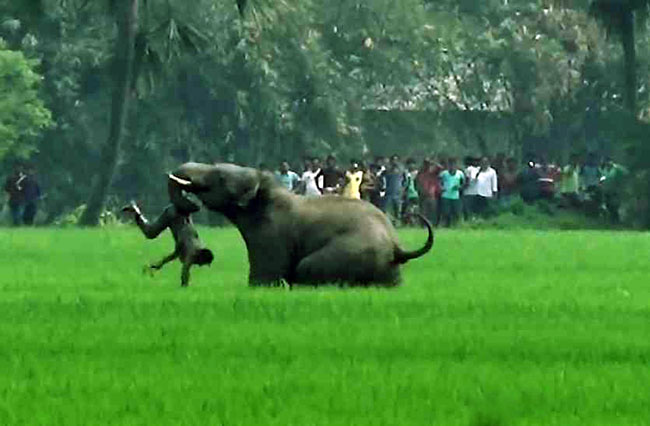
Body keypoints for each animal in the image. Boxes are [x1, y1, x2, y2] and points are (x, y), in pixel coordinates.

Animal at [167, 162, 432, 286]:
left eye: (220, 177)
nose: (191, 206)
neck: (265, 188)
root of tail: (397, 247)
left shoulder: (271, 234)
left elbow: (265, 277)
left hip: (352, 252)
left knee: (306, 267)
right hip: (389, 272)